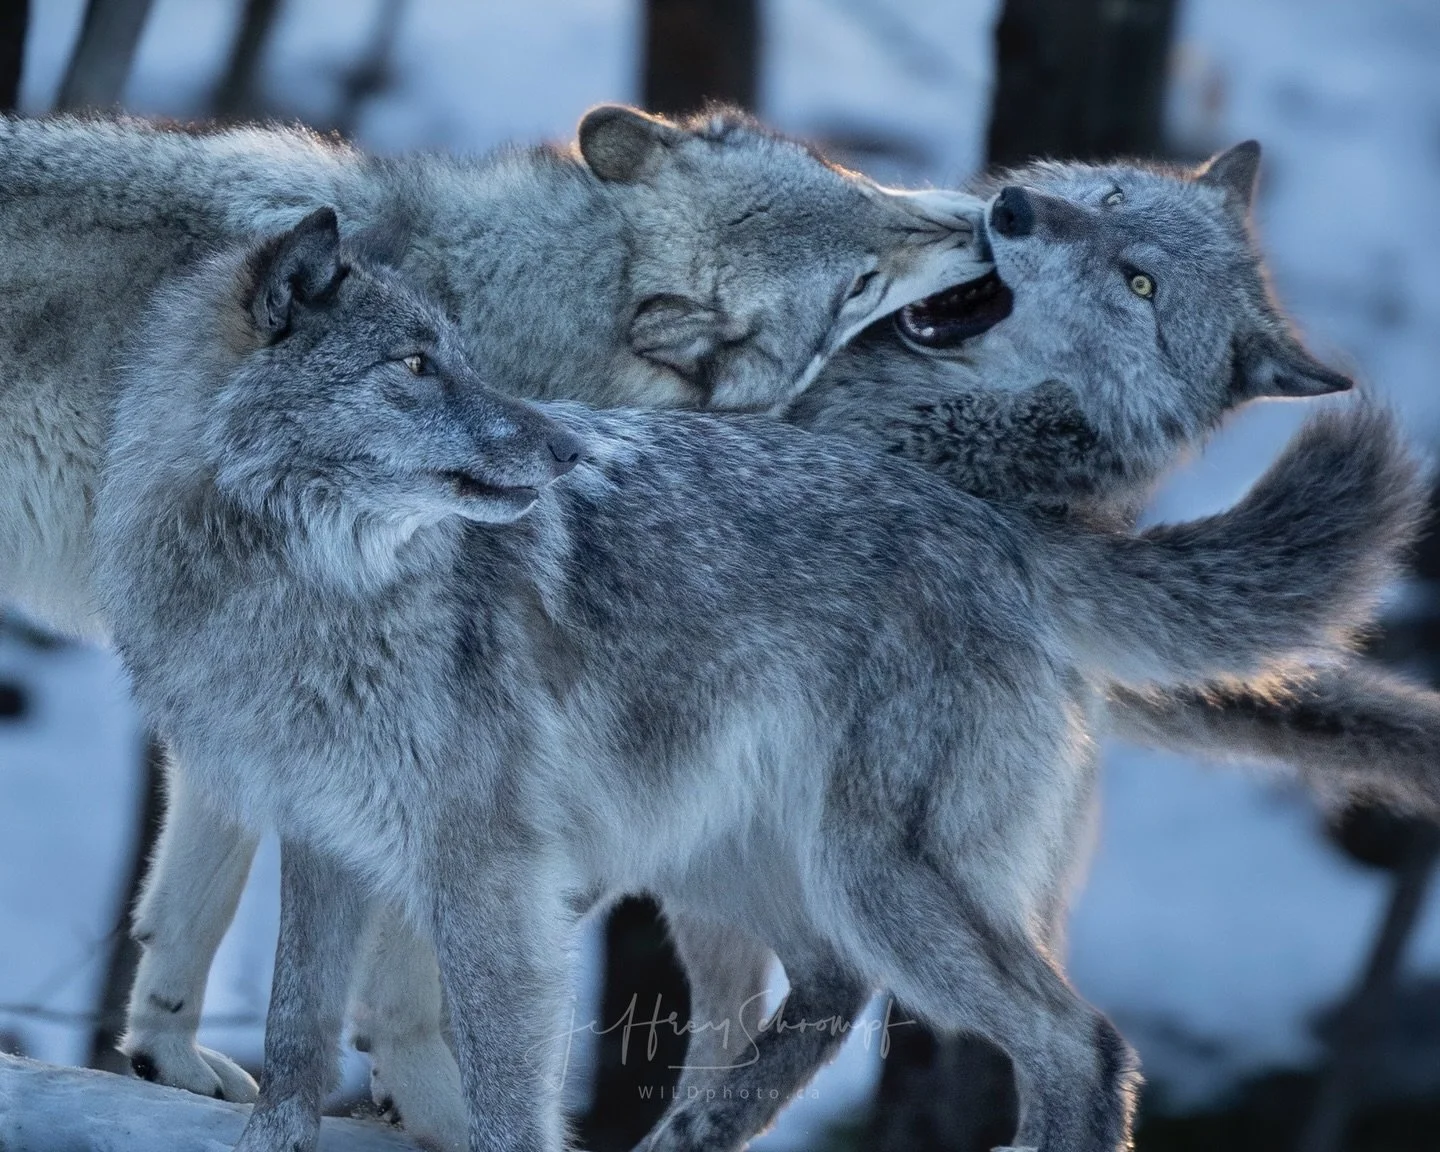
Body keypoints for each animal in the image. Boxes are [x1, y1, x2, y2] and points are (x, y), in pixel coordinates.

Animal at [0, 105, 987, 1107]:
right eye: (860, 284)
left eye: (857, 184)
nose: (987, 222)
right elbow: (408, 971)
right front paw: (433, 1095)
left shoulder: (256, 703)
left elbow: (194, 902)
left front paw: (167, 1051)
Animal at [94, 210, 1421, 1152]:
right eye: (415, 366)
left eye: (451, 360)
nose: (565, 448)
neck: (300, 590)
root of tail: (1000, 523)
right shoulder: (323, 841)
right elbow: (295, 1035)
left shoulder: (483, 875)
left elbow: (497, 1083)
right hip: (726, 862)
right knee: (835, 988)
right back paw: (692, 1134)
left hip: (876, 876)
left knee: (1080, 1043)